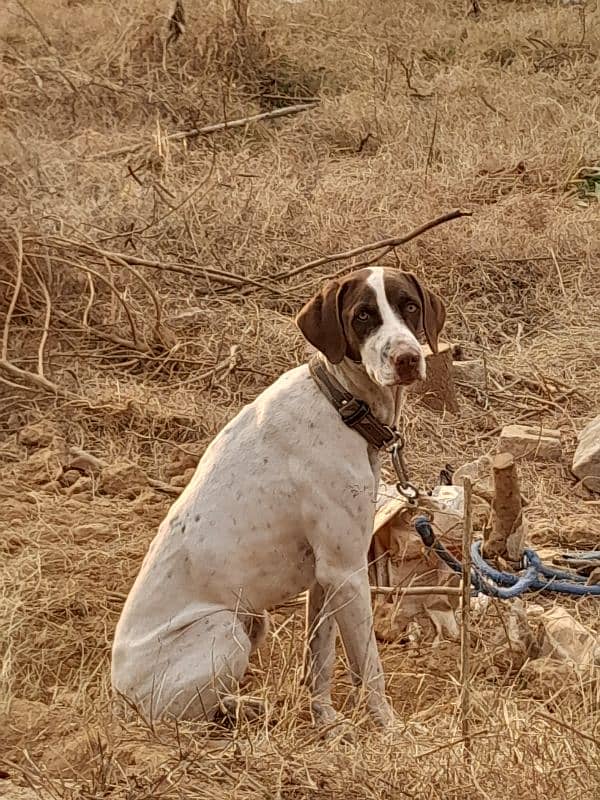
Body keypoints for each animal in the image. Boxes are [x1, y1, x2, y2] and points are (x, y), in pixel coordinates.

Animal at [111, 268, 446, 724]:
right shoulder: (347, 571)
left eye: (409, 305)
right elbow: (368, 667)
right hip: (225, 629)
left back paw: (248, 707)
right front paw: (388, 727)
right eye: (362, 316)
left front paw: (325, 720)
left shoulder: (325, 580)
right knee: (178, 720)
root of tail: (117, 696)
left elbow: (320, 661)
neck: (342, 405)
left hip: (253, 621)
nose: (408, 359)